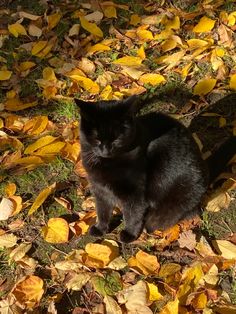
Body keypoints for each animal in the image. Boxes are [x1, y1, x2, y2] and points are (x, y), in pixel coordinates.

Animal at [76, 97, 236, 243]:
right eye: (97, 138)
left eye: (116, 139)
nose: (106, 150)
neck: (106, 164)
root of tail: (205, 167)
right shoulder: (99, 189)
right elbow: (102, 210)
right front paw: (101, 228)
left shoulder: (134, 193)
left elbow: (133, 214)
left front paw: (129, 234)